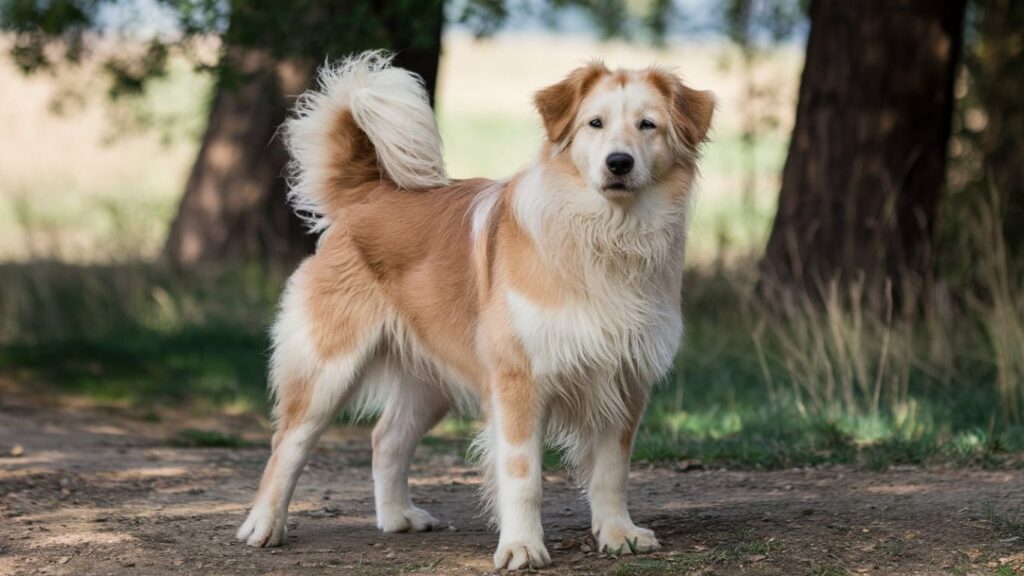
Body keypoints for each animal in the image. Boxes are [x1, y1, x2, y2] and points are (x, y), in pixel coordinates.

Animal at [235, 50, 712, 569]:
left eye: (648, 125)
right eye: (595, 123)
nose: (619, 163)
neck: (604, 234)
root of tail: (369, 193)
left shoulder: (625, 379)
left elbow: (611, 471)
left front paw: (618, 533)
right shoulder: (518, 380)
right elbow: (523, 474)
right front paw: (521, 546)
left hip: (429, 381)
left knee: (387, 438)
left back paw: (398, 516)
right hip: (328, 366)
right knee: (288, 443)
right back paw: (263, 525)